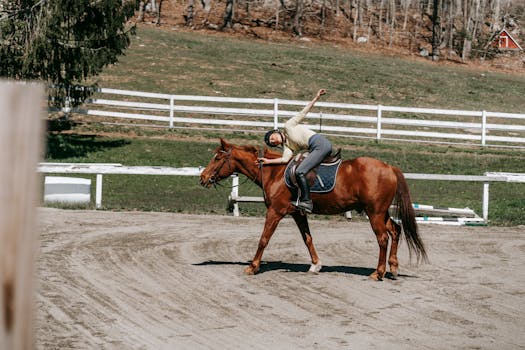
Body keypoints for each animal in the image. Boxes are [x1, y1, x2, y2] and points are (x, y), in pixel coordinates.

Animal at [198, 138, 426, 280]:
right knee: (395, 230)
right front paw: (316, 265)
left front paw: (253, 267)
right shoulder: (297, 214)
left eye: (217, 158)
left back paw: (378, 273)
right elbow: (307, 239)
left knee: (383, 238)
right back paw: (393, 268)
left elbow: (264, 239)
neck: (275, 172)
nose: (202, 178)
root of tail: (389, 167)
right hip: (380, 212)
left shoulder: (275, 212)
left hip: (375, 213)